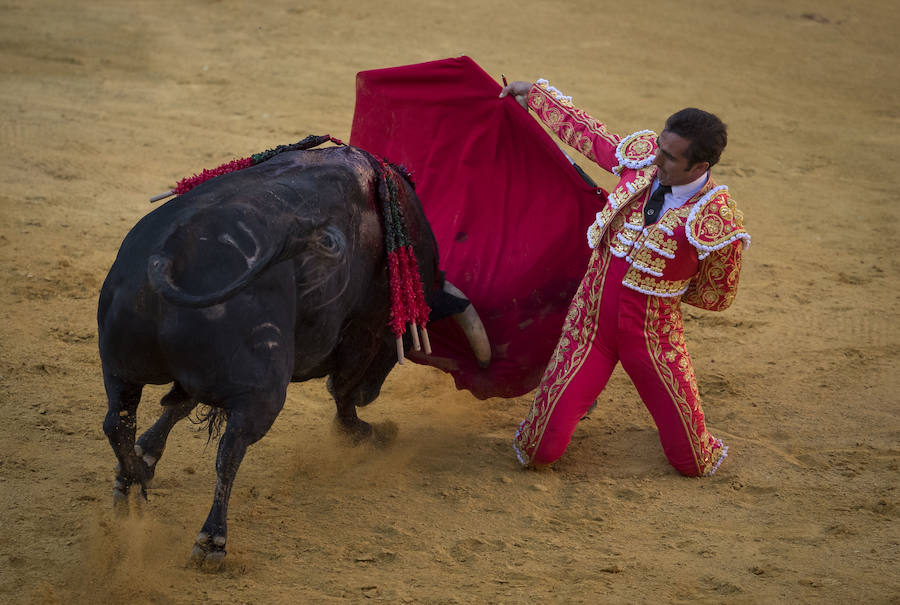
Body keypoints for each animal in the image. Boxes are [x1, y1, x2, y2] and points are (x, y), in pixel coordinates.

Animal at [97, 142, 488, 572]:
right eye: (396, 335)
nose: (372, 394)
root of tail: (167, 256)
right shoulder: (362, 330)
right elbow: (343, 394)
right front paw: (369, 431)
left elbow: (177, 406)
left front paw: (146, 457)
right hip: (265, 389)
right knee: (230, 449)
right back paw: (212, 540)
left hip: (120, 367)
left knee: (118, 421)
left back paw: (130, 487)